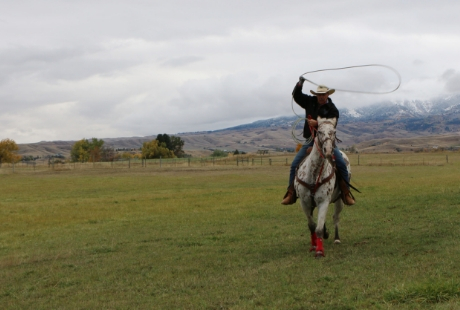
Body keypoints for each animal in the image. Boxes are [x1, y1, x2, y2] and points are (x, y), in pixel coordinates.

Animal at [294, 116, 352, 260]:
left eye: (334, 131)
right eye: (319, 131)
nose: (328, 151)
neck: (314, 173)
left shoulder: (324, 201)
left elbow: (319, 228)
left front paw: (320, 251)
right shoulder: (304, 202)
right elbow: (312, 226)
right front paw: (314, 245)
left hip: (339, 200)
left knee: (335, 217)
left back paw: (336, 238)